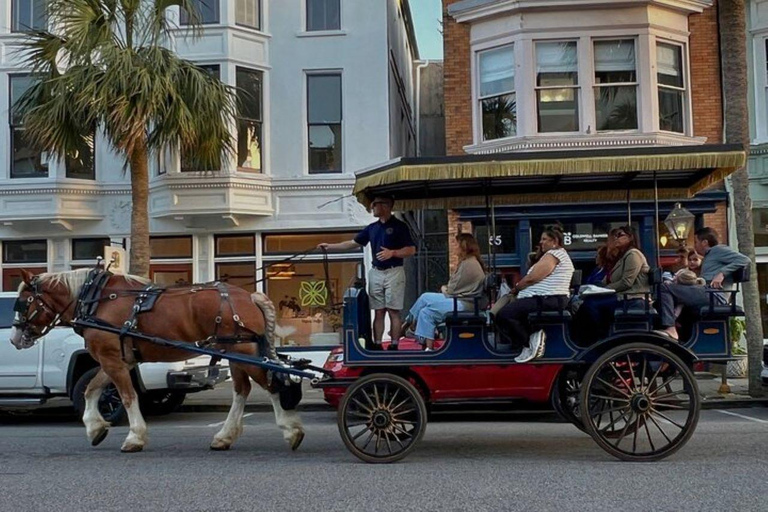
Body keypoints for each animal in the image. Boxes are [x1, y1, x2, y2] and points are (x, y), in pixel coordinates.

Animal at [9, 268, 304, 452]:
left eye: (23, 302)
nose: (14, 338)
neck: (96, 300)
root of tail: (250, 296)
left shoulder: (111, 359)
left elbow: (127, 397)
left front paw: (134, 437)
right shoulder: (117, 359)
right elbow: (92, 390)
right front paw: (95, 428)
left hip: (244, 352)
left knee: (271, 385)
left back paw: (291, 431)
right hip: (236, 352)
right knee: (242, 390)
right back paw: (224, 436)